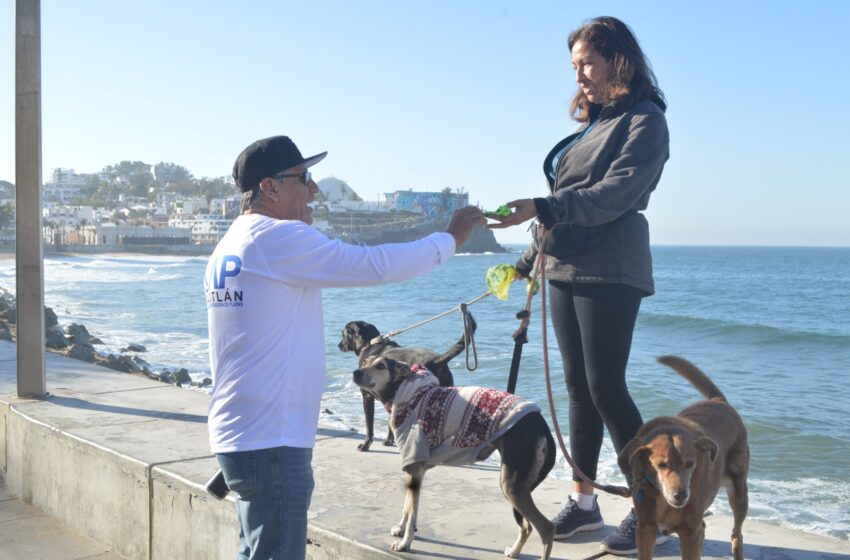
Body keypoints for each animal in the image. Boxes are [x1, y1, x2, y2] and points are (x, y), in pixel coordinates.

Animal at [336, 318, 470, 452]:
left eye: (344, 334)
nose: (339, 345)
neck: (370, 343)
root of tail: (438, 360)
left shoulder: (367, 396)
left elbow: (370, 426)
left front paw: (366, 444)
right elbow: (391, 422)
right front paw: (389, 440)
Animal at [616, 356, 748, 556]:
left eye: (690, 464)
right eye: (661, 465)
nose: (681, 495)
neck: (663, 500)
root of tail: (719, 401)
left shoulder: (689, 533)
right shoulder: (645, 529)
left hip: (739, 494)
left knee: (737, 534)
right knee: (706, 527)